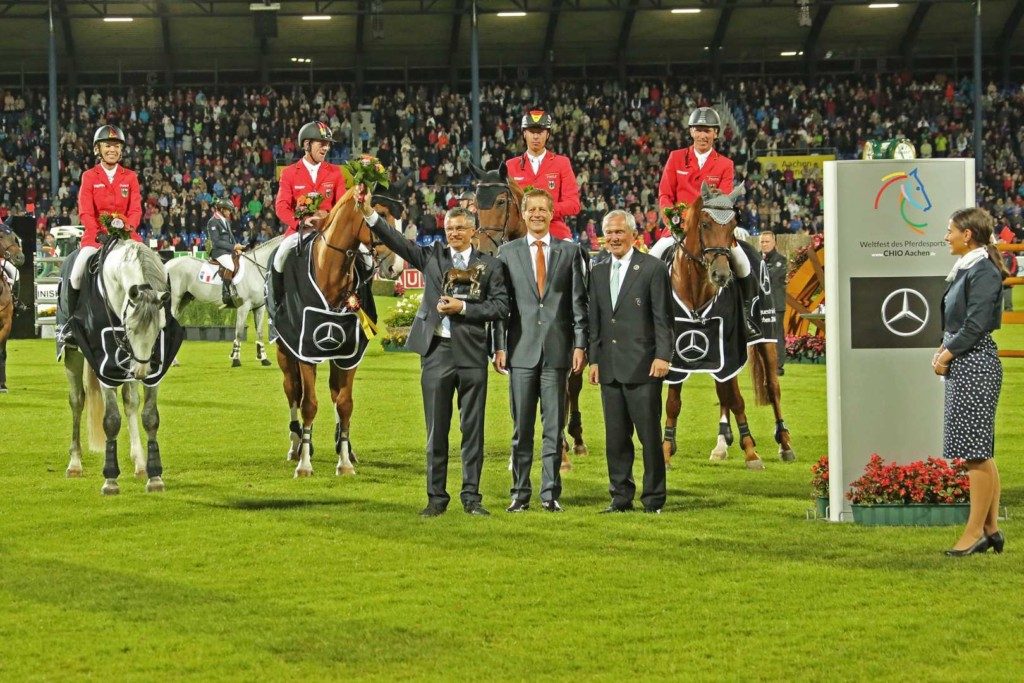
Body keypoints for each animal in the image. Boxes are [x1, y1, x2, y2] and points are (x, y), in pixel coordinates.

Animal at [276, 187, 395, 475]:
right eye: (379, 215)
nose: (395, 267)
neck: (329, 271)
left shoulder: (349, 356)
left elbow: (345, 404)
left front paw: (344, 462)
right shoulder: (305, 352)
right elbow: (309, 404)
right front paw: (304, 465)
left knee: (333, 394)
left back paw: (345, 448)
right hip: (285, 352)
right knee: (292, 390)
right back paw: (296, 446)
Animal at [659, 185, 794, 475]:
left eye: (732, 226)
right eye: (705, 224)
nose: (721, 275)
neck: (696, 290)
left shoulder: (730, 350)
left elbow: (738, 399)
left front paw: (751, 451)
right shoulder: (677, 356)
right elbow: (673, 404)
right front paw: (665, 450)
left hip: (766, 338)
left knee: (772, 388)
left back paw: (784, 443)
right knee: (723, 392)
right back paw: (721, 443)